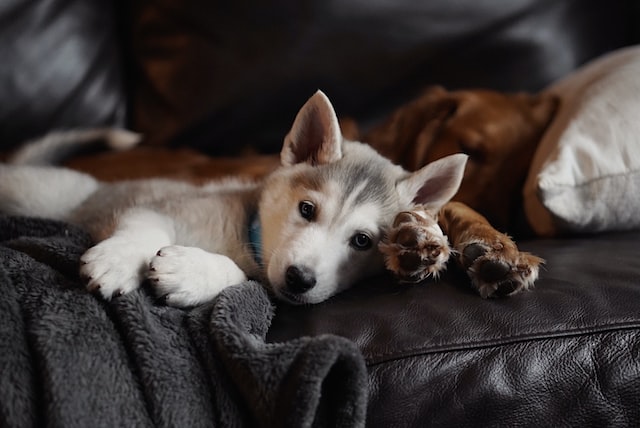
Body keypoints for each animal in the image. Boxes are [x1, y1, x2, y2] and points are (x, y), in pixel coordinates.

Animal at [0, 91, 464, 304]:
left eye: (363, 241)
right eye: (307, 209)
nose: (300, 279)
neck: (246, 236)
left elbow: (243, 278)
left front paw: (192, 272)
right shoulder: (163, 206)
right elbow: (144, 228)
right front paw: (118, 260)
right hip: (40, 193)